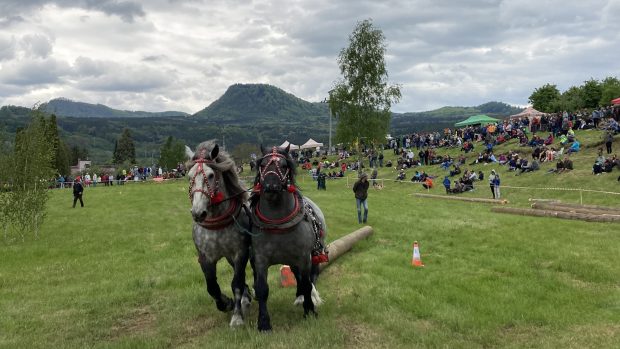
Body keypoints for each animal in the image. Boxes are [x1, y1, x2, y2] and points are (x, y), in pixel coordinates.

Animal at [186, 140, 252, 324]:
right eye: (189, 176)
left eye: (210, 175)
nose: (198, 213)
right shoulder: (205, 257)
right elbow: (212, 287)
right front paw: (226, 303)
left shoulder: (240, 253)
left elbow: (236, 283)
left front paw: (236, 316)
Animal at [248, 144, 326, 332]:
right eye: (262, 165)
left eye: (283, 166)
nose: (270, 186)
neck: (278, 225)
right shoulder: (261, 259)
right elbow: (262, 289)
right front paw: (264, 323)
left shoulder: (304, 257)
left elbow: (307, 284)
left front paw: (309, 310)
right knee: (296, 275)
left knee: (309, 278)